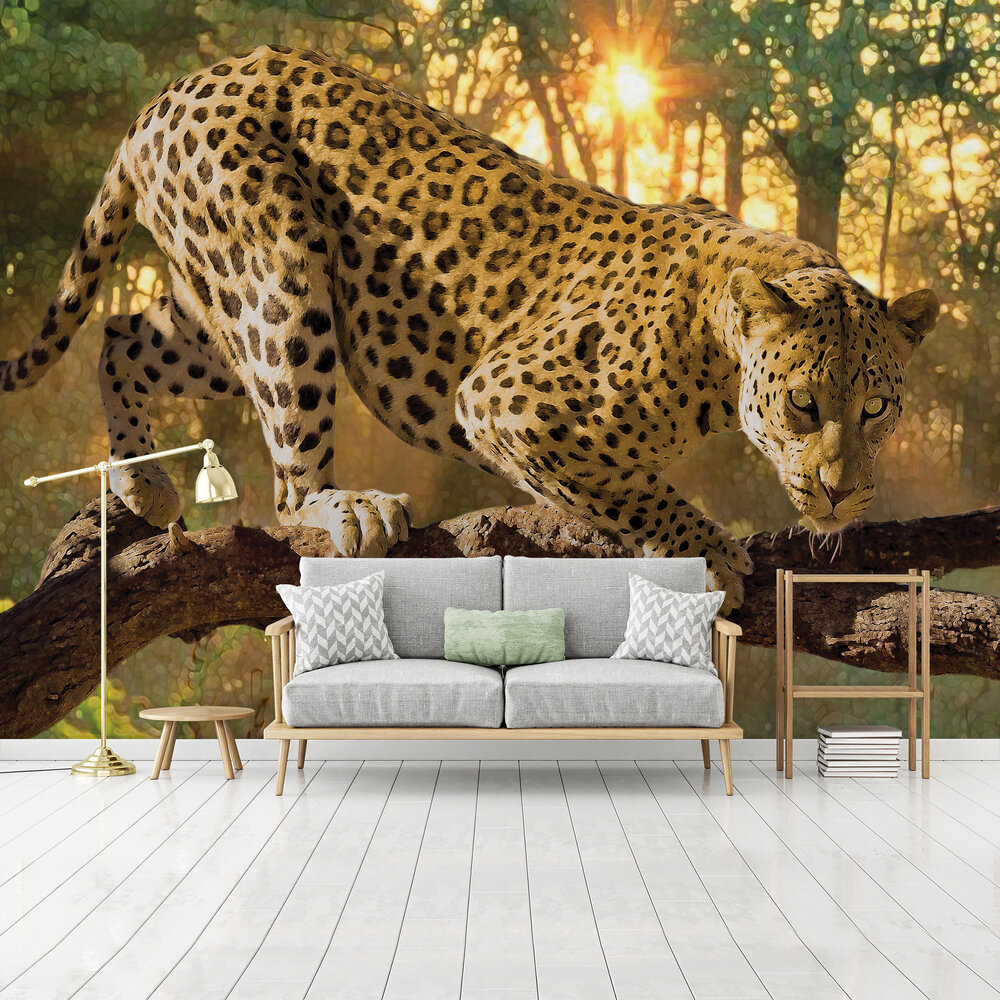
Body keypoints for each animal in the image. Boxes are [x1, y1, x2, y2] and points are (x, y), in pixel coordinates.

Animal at [1, 44, 939, 609]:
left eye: (878, 410)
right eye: (804, 406)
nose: (839, 494)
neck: (719, 349)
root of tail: (173, 89)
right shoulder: (505, 400)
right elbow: (635, 488)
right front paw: (707, 549)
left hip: (219, 300)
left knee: (122, 334)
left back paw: (142, 484)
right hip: (282, 274)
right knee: (288, 485)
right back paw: (348, 508)